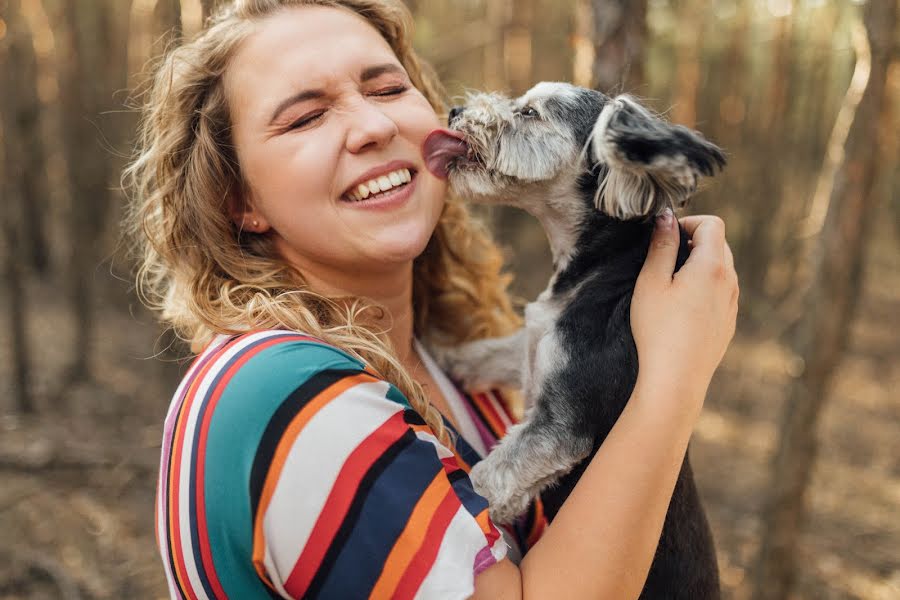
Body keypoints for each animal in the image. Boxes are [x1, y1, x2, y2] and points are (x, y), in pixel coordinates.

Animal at [426, 82, 728, 596]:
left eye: (530, 113)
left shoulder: (561, 425)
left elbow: (496, 476)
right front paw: (444, 354)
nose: (456, 110)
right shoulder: (534, 340)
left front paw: (475, 500)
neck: (601, 268)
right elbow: (492, 352)